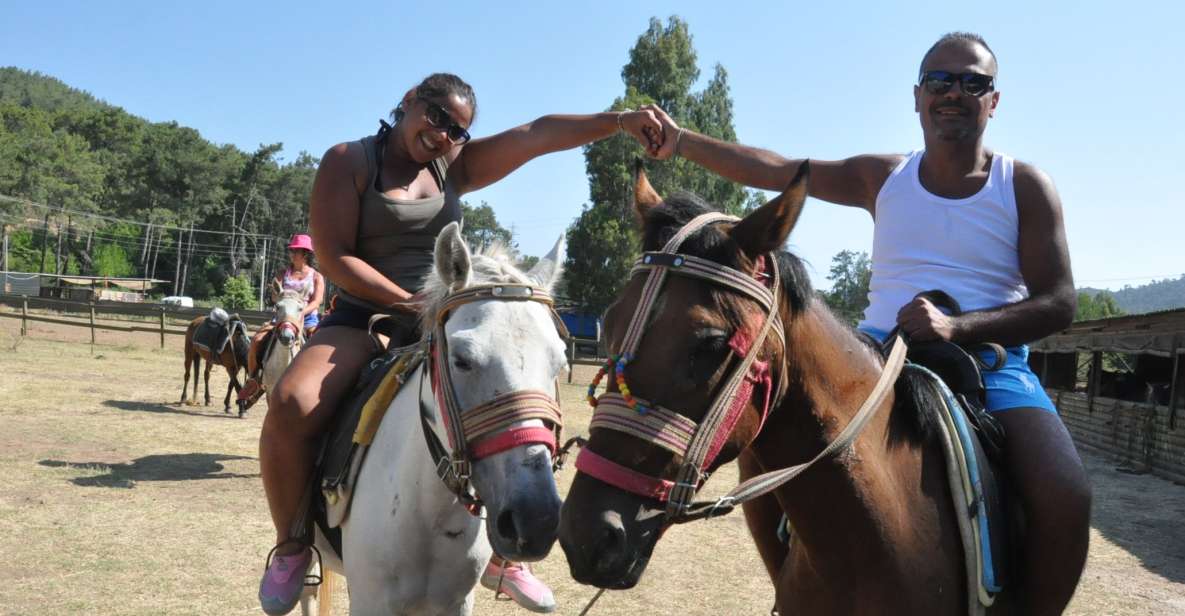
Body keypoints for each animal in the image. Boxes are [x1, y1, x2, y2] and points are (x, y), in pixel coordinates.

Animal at [303, 222, 566, 616]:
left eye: (560, 363)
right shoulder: (370, 601)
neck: (427, 511)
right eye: (462, 359)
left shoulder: (454, 602)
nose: (536, 520)